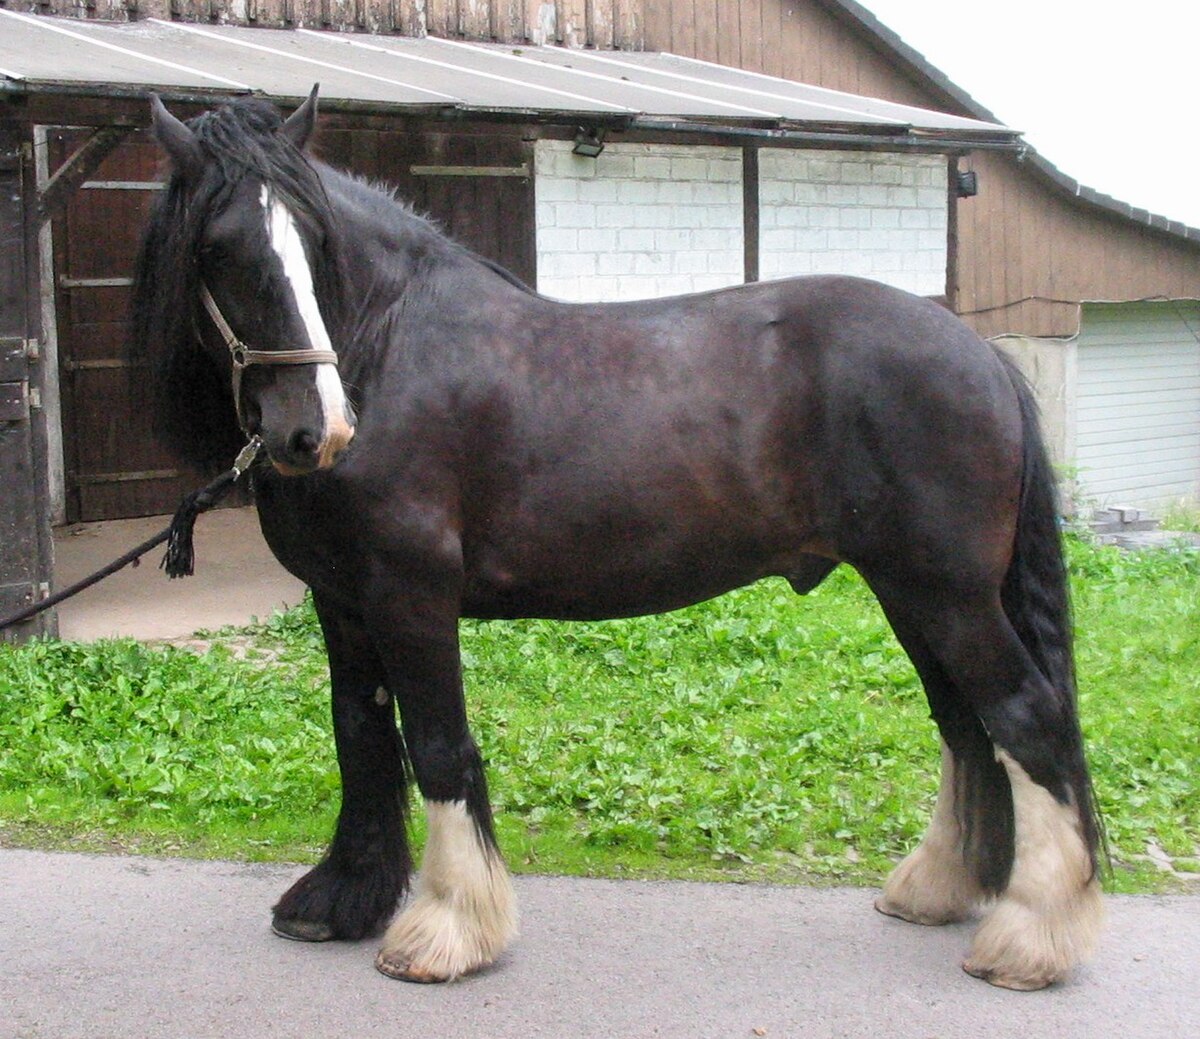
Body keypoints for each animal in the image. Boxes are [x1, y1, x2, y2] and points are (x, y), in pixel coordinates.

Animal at [131, 88, 1103, 990]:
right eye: (219, 248)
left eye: (311, 240)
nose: (316, 431)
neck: (389, 351)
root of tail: (982, 355)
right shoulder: (342, 603)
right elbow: (361, 738)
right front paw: (340, 901)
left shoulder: (410, 594)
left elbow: (437, 744)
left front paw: (446, 930)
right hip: (912, 592)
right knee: (967, 725)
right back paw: (939, 890)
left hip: (946, 592)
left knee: (1025, 716)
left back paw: (1030, 936)